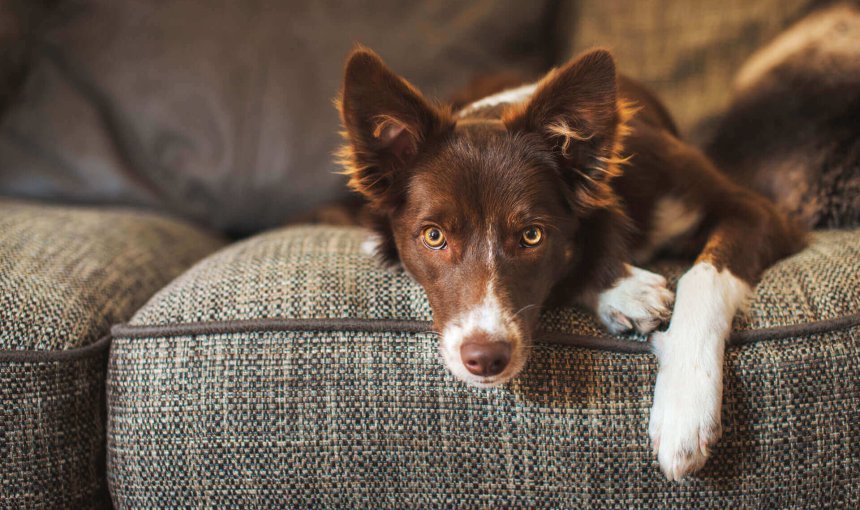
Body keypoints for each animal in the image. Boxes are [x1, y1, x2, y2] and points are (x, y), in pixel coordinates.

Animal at [336, 45, 808, 480]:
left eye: (532, 235)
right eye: (434, 236)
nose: (486, 359)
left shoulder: (757, 211)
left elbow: (702, 278)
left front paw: (685, 409)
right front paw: (624, 292)